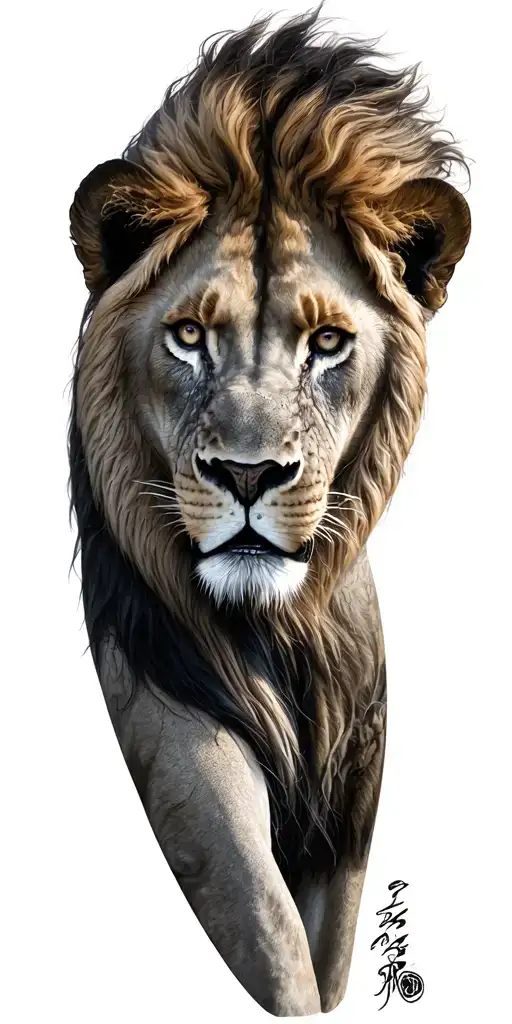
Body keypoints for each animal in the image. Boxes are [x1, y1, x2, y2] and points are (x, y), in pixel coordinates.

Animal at [68, 10, 470, 1017]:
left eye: (327, 342)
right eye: (188, 335)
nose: (249, 475)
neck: (284, 639)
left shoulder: (353, 813)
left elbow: (325, 956)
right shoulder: (180, 741)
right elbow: (271, 942)